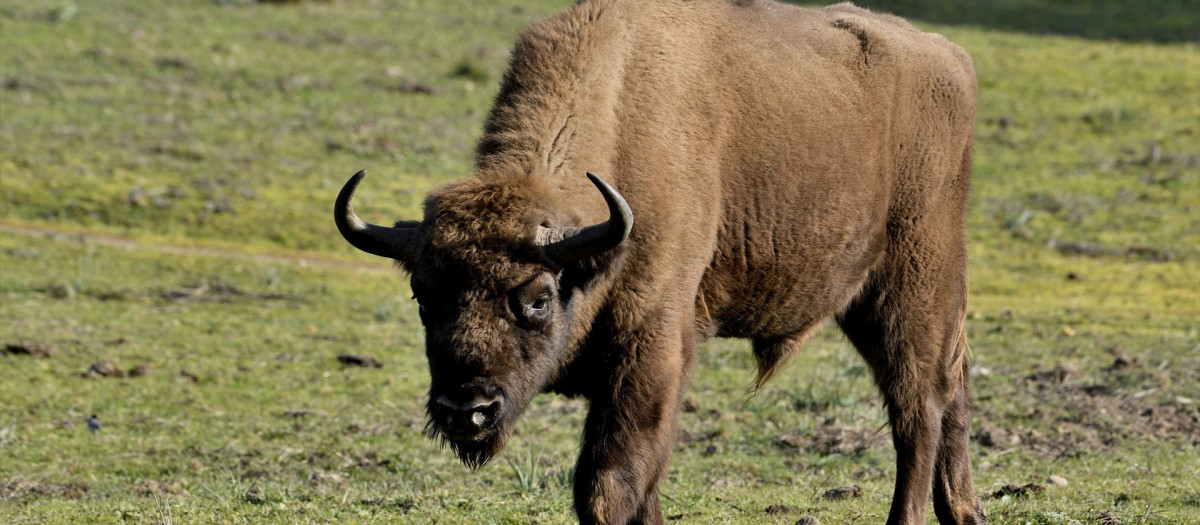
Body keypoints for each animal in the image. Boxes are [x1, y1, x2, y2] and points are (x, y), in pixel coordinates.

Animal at [336, 1, 984, 525]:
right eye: (424, 297)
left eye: (538, 299)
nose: (465, 410)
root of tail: (950, 56)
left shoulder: (650, 345)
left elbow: (606, 486)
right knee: (949, 395)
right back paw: (965, 513)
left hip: (913, 288)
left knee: (918, 408)